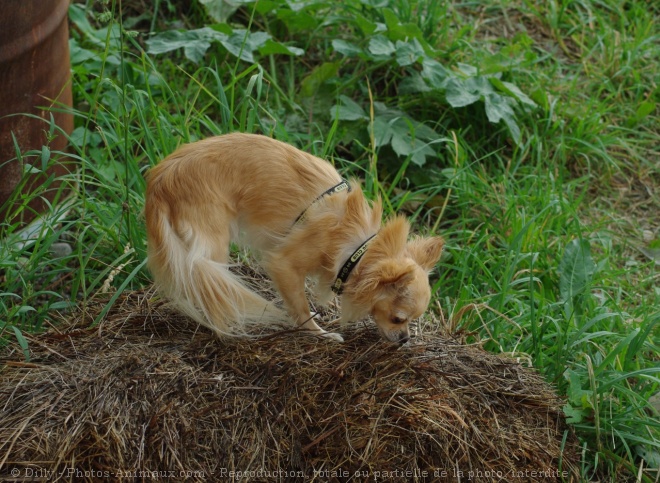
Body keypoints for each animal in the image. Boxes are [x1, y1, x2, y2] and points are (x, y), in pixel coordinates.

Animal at [144, 132, 444, 344]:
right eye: (397, 319)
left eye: (410, 322)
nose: (404, 340)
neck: (357, 247)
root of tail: (159, 180)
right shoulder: (284, 265)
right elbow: (300, 307)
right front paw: (319, 333)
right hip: (213, 245)